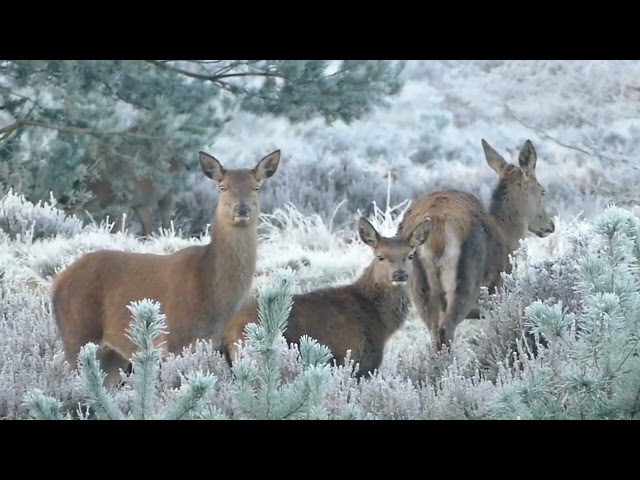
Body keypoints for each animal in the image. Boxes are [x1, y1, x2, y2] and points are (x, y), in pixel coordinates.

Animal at [53, 149, 284, 386]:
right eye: (223, 187)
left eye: (256, 187)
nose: (242, 209)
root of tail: (57, 281)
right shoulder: (174, 339)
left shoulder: (211, 342)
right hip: (77, 334)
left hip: (111, 354)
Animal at [221, 217, 430, 378]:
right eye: (380, 256)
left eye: (410, 255)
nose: (400, 275)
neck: (380, 321)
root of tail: (227, 332)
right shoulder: (355, 359)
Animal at [400, 139, 556, 352]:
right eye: (542, 191)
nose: (550, 225)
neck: (507, 236)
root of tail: (437, 228)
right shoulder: (497, 289)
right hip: (466, 279)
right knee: (445, 330)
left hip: (418, 287)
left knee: (434, 333)